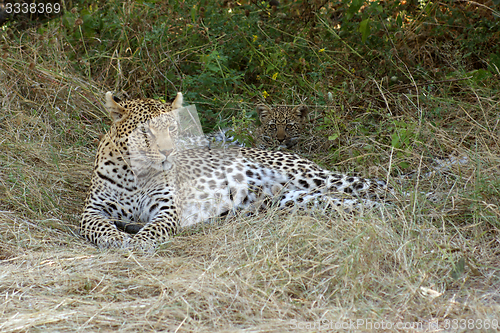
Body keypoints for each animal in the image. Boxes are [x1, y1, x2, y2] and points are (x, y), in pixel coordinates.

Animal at [81, 92, 394, 250]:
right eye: (145, 131)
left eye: (172, 128)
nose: (168, 151)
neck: (137, 175)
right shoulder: (92, 210)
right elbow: (99, 227)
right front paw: (117, 238)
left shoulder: (167, 210)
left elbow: (154, 229)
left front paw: (137, 242)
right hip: (291, 199)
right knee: (342, 202)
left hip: (308, 175)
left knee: (372, 185)